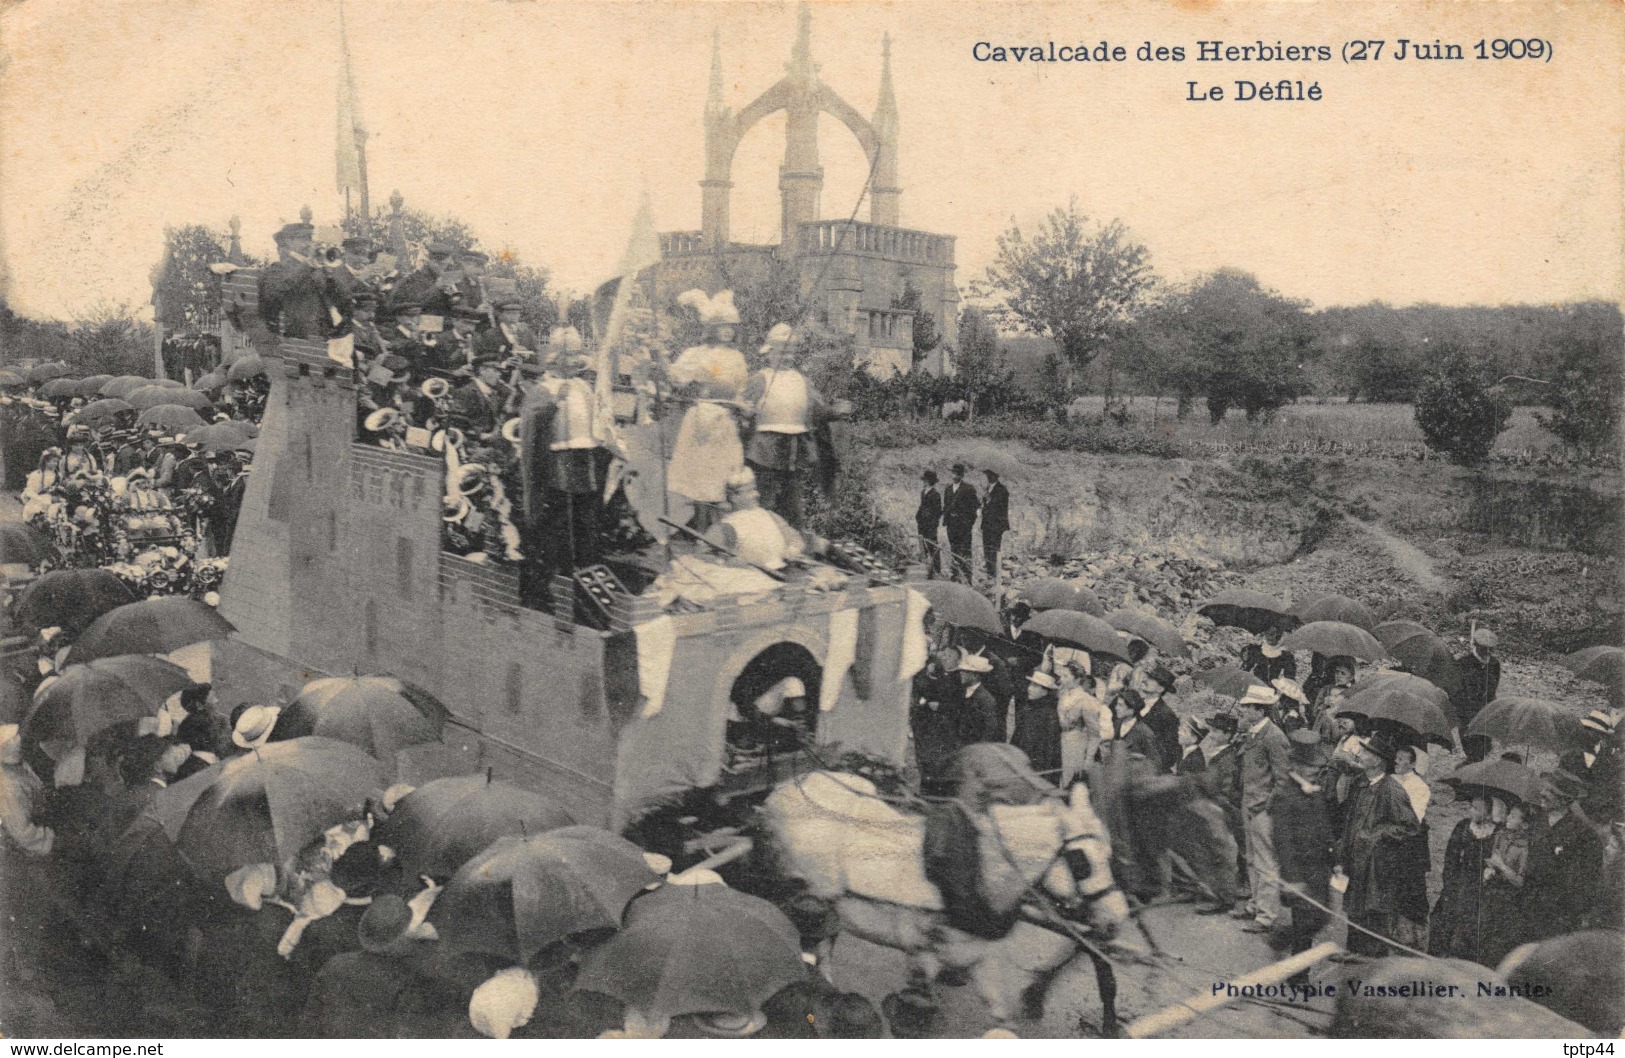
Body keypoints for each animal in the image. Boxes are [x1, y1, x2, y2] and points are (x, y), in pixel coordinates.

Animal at [760, 770, 1144, 1033]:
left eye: (1111, 853)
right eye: (1080, 861)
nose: (1116, 918)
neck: (974, 872)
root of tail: (784, 788)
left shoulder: (982, 959)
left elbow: (1000, 1018)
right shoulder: (923, 957)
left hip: (828, 909)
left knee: (823, 948)